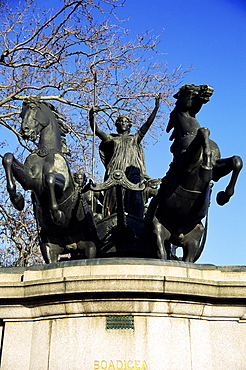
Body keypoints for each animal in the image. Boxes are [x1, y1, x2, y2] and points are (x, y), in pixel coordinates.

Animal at [2, 95, 97, 264]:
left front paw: (57, 215)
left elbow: (50, 179)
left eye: (33, 108)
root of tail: (71, 245)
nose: (25, 130)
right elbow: (7, 158)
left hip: (90, 247)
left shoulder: (63, 186)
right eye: (21, 114)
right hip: (48, 247)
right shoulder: (30, 180)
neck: (45, 153)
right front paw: (17, 199)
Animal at [151, 84, 243, 264]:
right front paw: (205, 170)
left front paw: (223, 196)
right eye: (190, 89)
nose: (209, 88)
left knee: (187, 258)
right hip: (157, 229)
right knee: (161, 253)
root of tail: (176, 234)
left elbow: (237, 161)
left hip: (195, 238)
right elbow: (203, 132)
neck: (189, 133)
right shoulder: (185, 163)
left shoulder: (218, 168)